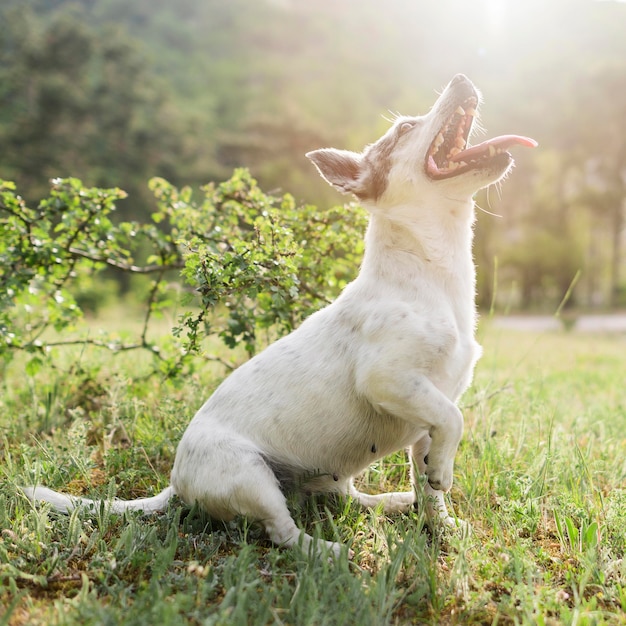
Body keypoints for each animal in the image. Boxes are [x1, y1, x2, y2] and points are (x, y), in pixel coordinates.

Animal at [23, 74, 532, 556]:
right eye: (406, 128)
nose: (462, 77)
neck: (428, 274)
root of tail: (175, 484)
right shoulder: (390, 380)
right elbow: (453, 420)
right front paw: (443, 474)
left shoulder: (425, 414)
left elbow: (429, 480)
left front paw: (441, 526)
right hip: (252, 477)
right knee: (282, 532)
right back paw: (328, 552)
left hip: (328, 474)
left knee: (347, 499)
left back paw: (390, 501)